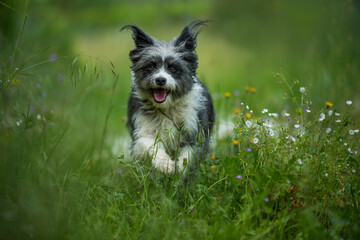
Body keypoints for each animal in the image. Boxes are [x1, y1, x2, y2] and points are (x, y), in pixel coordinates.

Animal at [122, 20, 215, 177]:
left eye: (172, 68)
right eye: (151, 66)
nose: (160, 80)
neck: (167, 108)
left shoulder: (195, 131)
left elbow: (187, 155)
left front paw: (179, 170)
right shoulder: (142, 129)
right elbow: (148, 143)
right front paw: (164, 164)